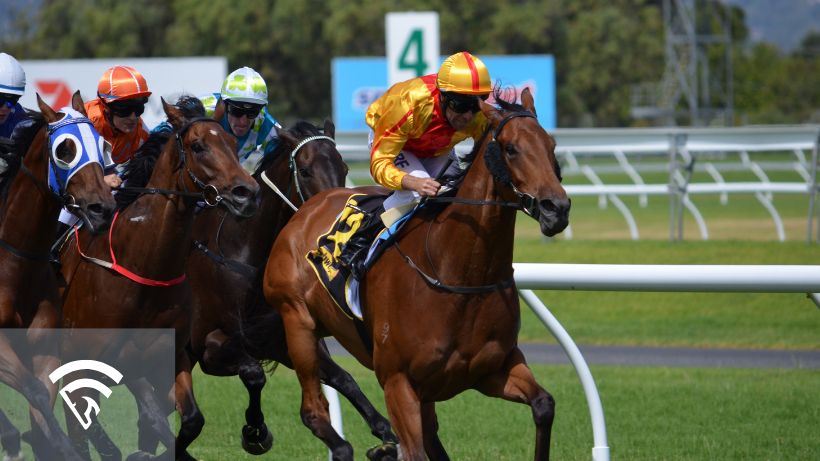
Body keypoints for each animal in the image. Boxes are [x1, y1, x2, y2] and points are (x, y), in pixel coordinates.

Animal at [0, 92, 116, 460]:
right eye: (65, 149)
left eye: (103, 145)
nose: (102, 209)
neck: (15, 264)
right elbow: (35, 392)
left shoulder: (45, 348)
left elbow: (43, 404)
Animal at [58, 98, 260, 460]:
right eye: (198, 146)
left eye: (234, 145)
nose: (246, 194)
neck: (144, 269)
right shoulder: (105, 361)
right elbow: (149, 416)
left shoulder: (171, 357)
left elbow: (189, 420)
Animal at [189, 118, 400, 456]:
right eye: (305, 170)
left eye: (343, 166)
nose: (337, 215)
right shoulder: (210, 347)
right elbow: (253, 373)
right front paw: (255, 432)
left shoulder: (281, 336)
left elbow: (345, 379)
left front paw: (383, 433)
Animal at [262, 88, 572, 458]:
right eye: (511, 148)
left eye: (551, 145)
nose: (557, 208)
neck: (458, 274)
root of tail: (306, 208)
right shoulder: (398, 381)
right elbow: (414, 450)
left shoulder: (494, 369)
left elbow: (544, 405)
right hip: (298, 323)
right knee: (313, 411)